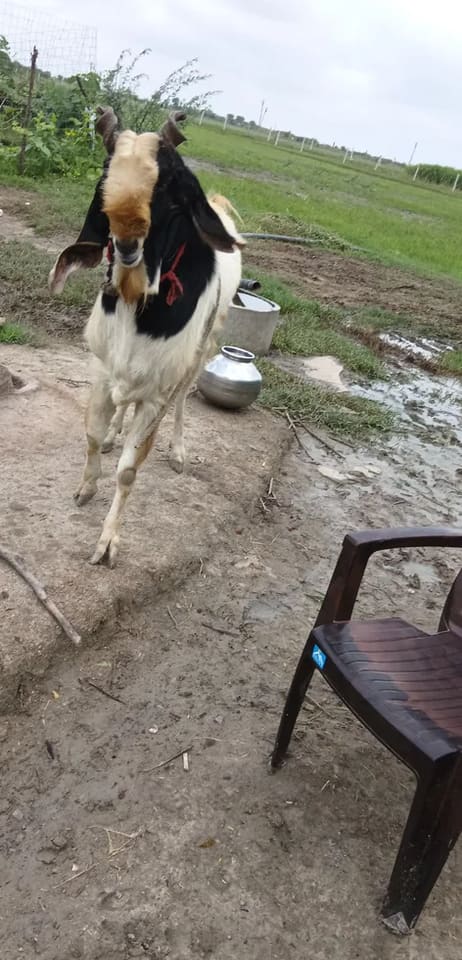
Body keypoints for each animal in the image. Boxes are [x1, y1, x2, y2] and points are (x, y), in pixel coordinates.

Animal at [49, 108, 244, 567]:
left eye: (171, 193)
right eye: (105, 180)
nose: (126, 247)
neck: (135, 306)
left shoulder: (158, 392)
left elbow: (129, 470)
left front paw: (107, 543)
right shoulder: (102, 370)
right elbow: (92, 433)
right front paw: (86, 486)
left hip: (199, 356)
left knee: (183, 403)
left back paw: (177, 450)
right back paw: (116, 433)